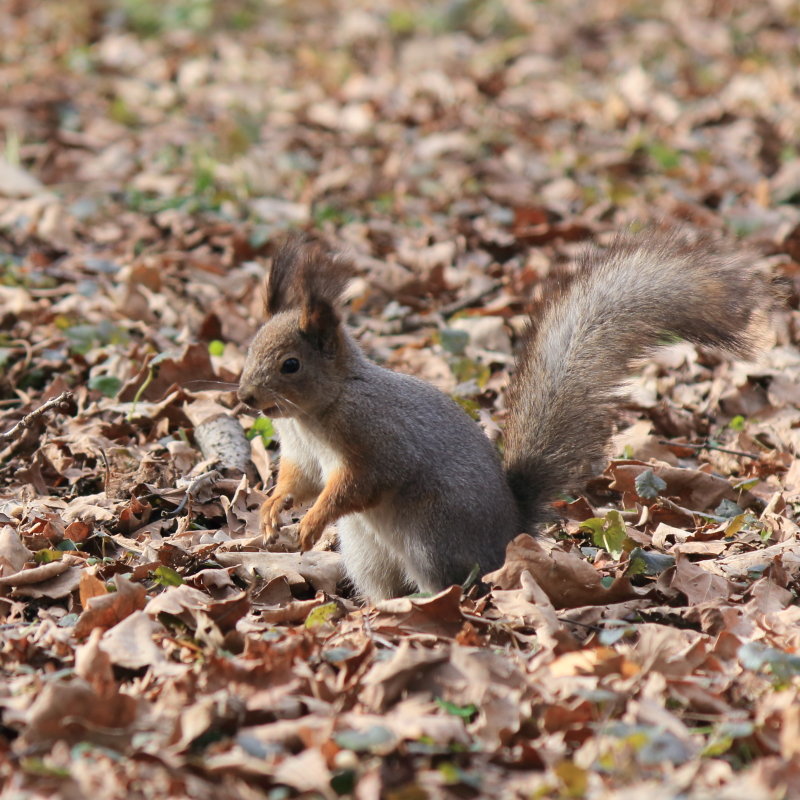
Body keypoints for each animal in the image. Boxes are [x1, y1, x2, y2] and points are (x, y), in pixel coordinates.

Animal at [236, 231, 768, 600]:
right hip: (367, 553)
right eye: (250, 345)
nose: (244, 397)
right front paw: (272, 510)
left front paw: (310, 522)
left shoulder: (378, 439)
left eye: (290, 364)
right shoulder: (301, 453)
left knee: (454, 583)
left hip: (431, 535)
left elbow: (357, 484)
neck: (315, 413)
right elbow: (299, 481)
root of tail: (511, 533)